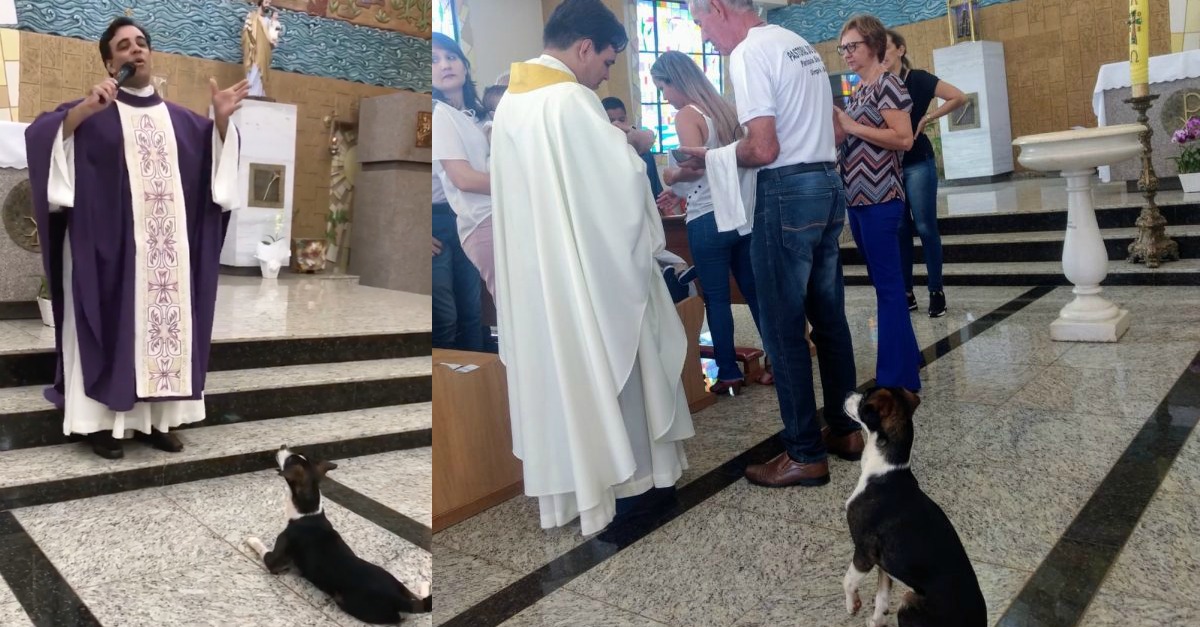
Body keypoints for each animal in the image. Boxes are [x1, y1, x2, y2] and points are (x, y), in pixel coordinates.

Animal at [243, 444, 432, 619]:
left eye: (289, 459)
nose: (283, 445)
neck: (308, 513)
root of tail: (401, 601)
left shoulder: (275, 561)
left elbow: (263, 550)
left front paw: (252, 539)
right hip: (397, 583)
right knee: (417, 596)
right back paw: (424, 587)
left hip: (346, 601)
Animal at [844, 384, 984, 624]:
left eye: (864, 400)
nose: (846, 393)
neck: (885, 470)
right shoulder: (884, 565)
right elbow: (881, 598)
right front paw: (875, 621)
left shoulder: (864, 552)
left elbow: (848, 580)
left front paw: (852, 604)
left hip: (909, 602)